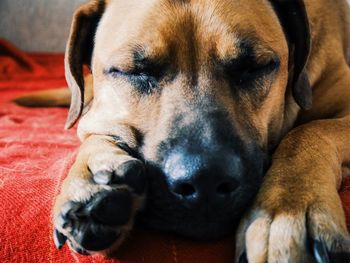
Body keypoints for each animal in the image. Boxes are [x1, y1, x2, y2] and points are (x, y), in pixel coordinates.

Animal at [15, 0, 350, 262]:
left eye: (255, 66)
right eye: (132, 71)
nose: (205, 181)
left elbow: (307, 132)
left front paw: (288, 207)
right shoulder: (100, 109)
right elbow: (91, 129)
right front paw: (91, 175)